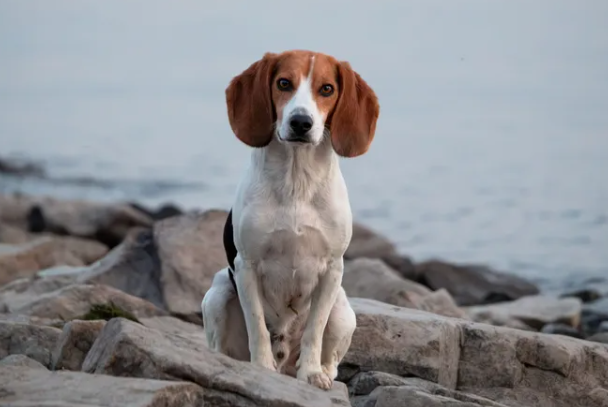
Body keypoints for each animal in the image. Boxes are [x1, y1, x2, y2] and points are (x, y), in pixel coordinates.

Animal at [202, 49, 378, 390]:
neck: (297, 178)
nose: (301, 122)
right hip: (217, 292)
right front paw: (261, 369)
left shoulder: (332, 269)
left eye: (327, 89)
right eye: (284, 83)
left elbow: (314, 330)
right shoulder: (246, 265)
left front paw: (310, 373)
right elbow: (257, 325)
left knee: (331, 358)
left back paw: (321, 371)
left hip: (343, 311)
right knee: (222, 347)